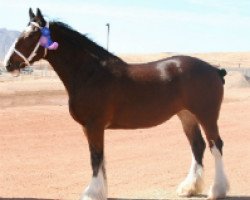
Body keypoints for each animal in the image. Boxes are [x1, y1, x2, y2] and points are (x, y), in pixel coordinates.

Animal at [4, 8, 229, 200]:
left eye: (30, 36)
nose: (8, 64)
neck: (90, 73)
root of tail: (215, 70)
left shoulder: (94, 125)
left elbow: (95, 158)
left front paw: (92, 193)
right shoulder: (90, 128)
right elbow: (100, 158)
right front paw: (101, 191)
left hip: (207, 116)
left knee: (215, 145)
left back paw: (217, 190)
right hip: (186, 115)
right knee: (198, 146)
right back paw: (189, 188)